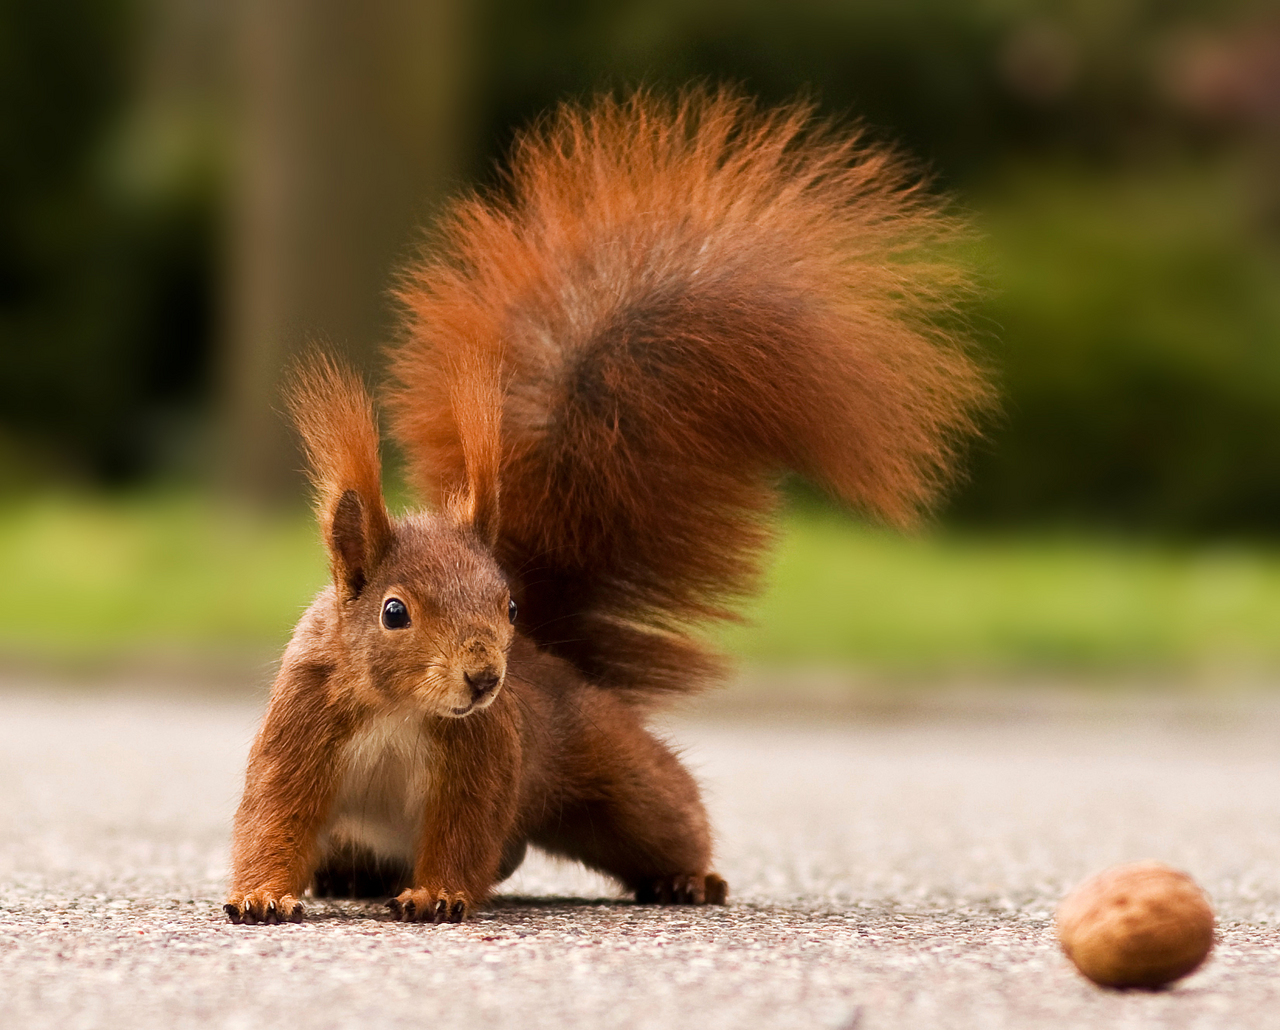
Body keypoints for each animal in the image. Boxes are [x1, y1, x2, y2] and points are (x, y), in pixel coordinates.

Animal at [223, 88, 988, 925]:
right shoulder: (305, 724)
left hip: (612, 775)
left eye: (510, 604)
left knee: (651, 816)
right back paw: (348, 877)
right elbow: (275, 813)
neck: (400, 709)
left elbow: (462, 830)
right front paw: (262, 895)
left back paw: (688, 879)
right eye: (394, 612)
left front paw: (438, 894)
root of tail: (554, 667)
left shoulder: (484, 753)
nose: (485, 679)